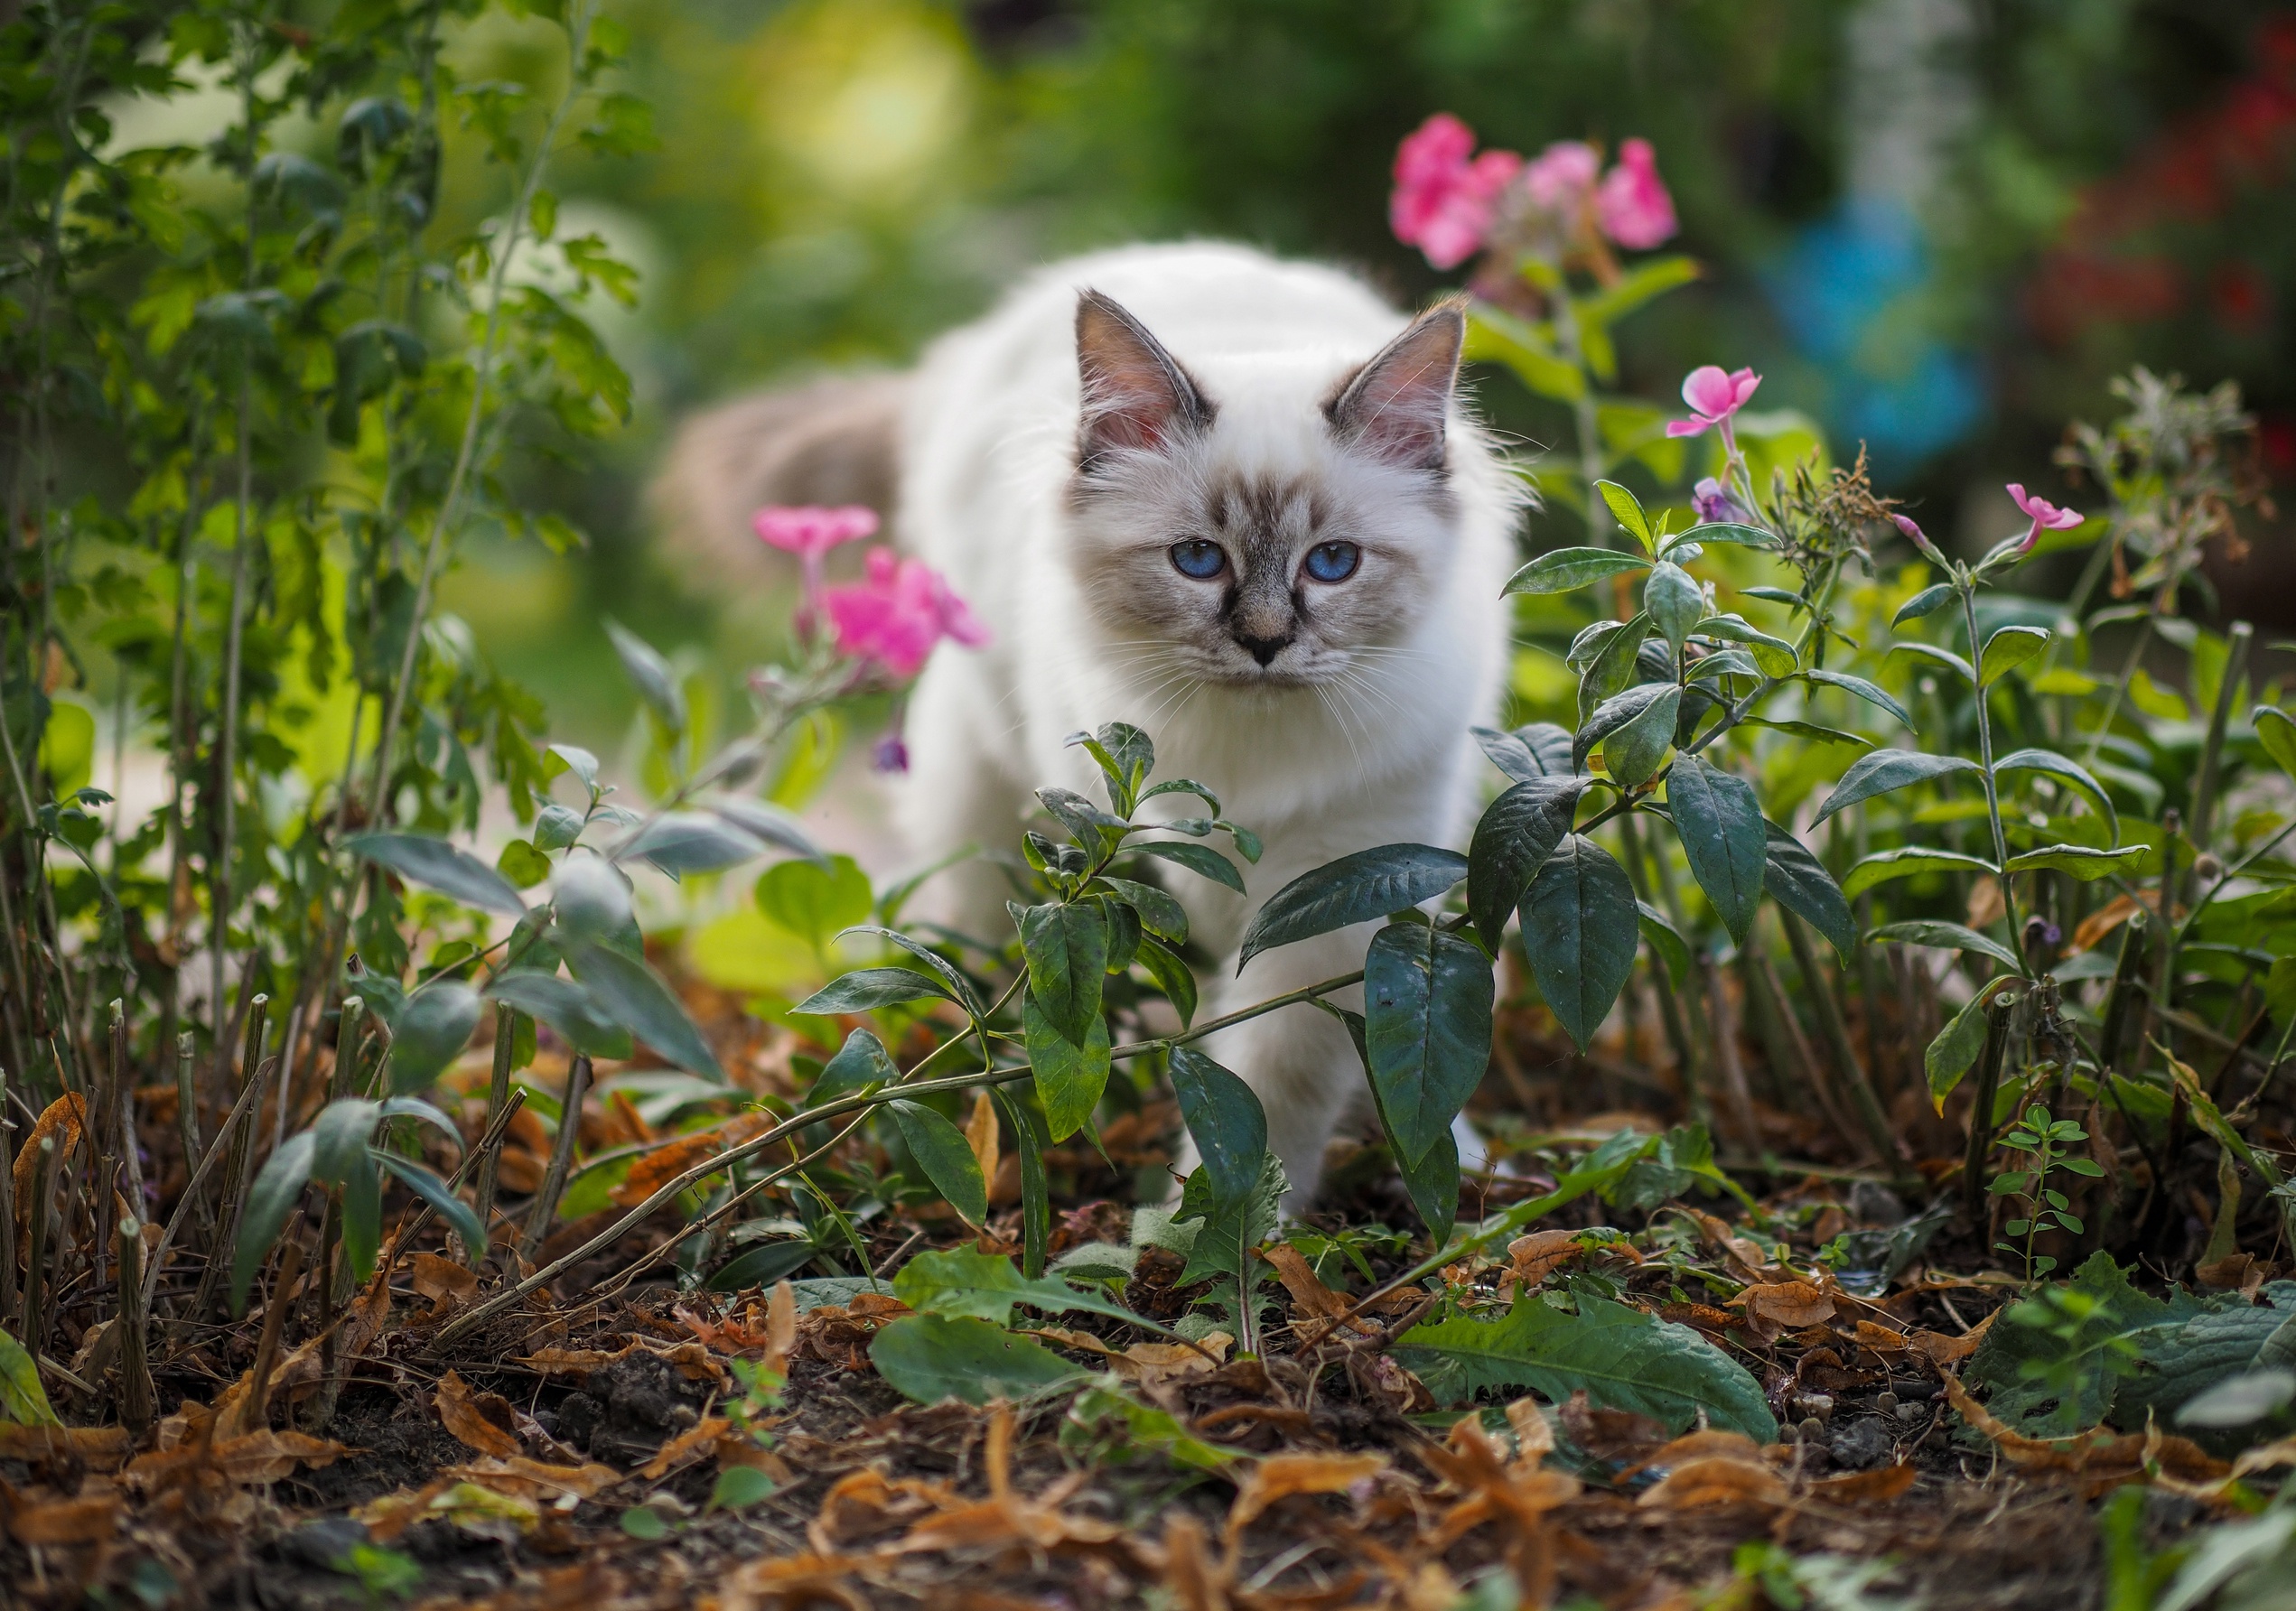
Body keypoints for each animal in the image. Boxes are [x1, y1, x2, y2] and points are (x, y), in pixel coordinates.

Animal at [895, 245, 1524, 1202]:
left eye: (1332, 564)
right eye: (1197, 560)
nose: (1264, 643)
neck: (1254, 759)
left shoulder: (1338, 884)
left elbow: (1279, 1076)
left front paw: (1247, 1213)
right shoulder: (1176, 850)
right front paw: (1210, 1217)